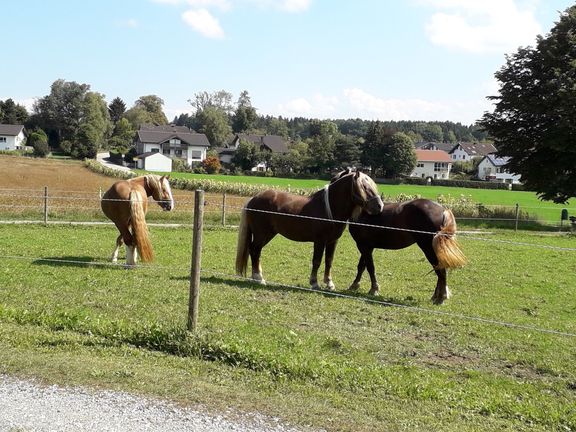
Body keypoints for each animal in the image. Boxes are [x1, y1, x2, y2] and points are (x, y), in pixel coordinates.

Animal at [236, 169, 384, 290]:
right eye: (364, 187)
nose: (379, 206)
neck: (328, 208)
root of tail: (253, 198)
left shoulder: (332, 241)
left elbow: (329, 260)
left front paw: (329, 283)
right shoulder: (319, 241)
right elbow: (317, 261)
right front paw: (314, 283)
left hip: (268, 234)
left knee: (255, 251)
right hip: (262, 234)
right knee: (255, 250)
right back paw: (259, 278)